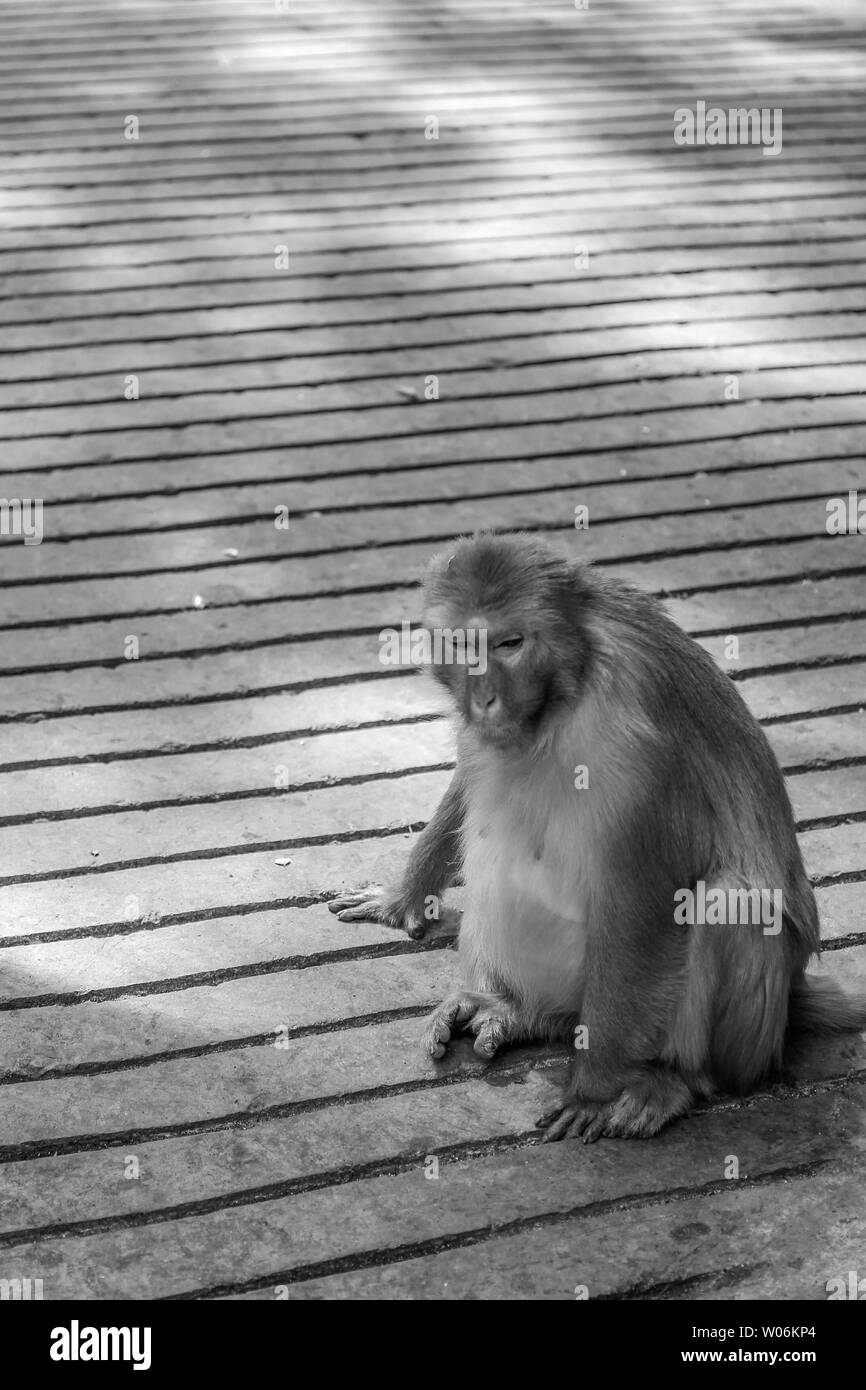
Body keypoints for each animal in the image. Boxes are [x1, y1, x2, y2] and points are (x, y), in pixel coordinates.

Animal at [328, 530, 861, 1139]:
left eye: (510, 643)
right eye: (464, 646)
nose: (483, 698)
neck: (570, 679)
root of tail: (792, 996)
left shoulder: (627, 733)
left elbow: (648, 902)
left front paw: (592, 1090)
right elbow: (474, 770)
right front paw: (403, 897)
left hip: (741, 1037)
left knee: (728, 903)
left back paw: (676, 1078)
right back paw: (518, 1009)